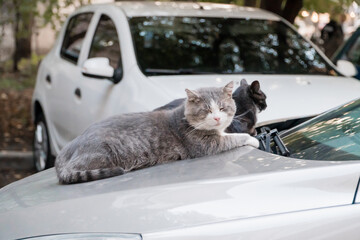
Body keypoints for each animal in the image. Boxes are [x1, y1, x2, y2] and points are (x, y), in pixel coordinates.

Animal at [54, 81, 258, 185]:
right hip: (102, 155)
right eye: (206, 110)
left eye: (222, 108)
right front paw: (253, 140)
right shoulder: (206, 146)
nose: (216, 118)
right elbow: (234, 138)